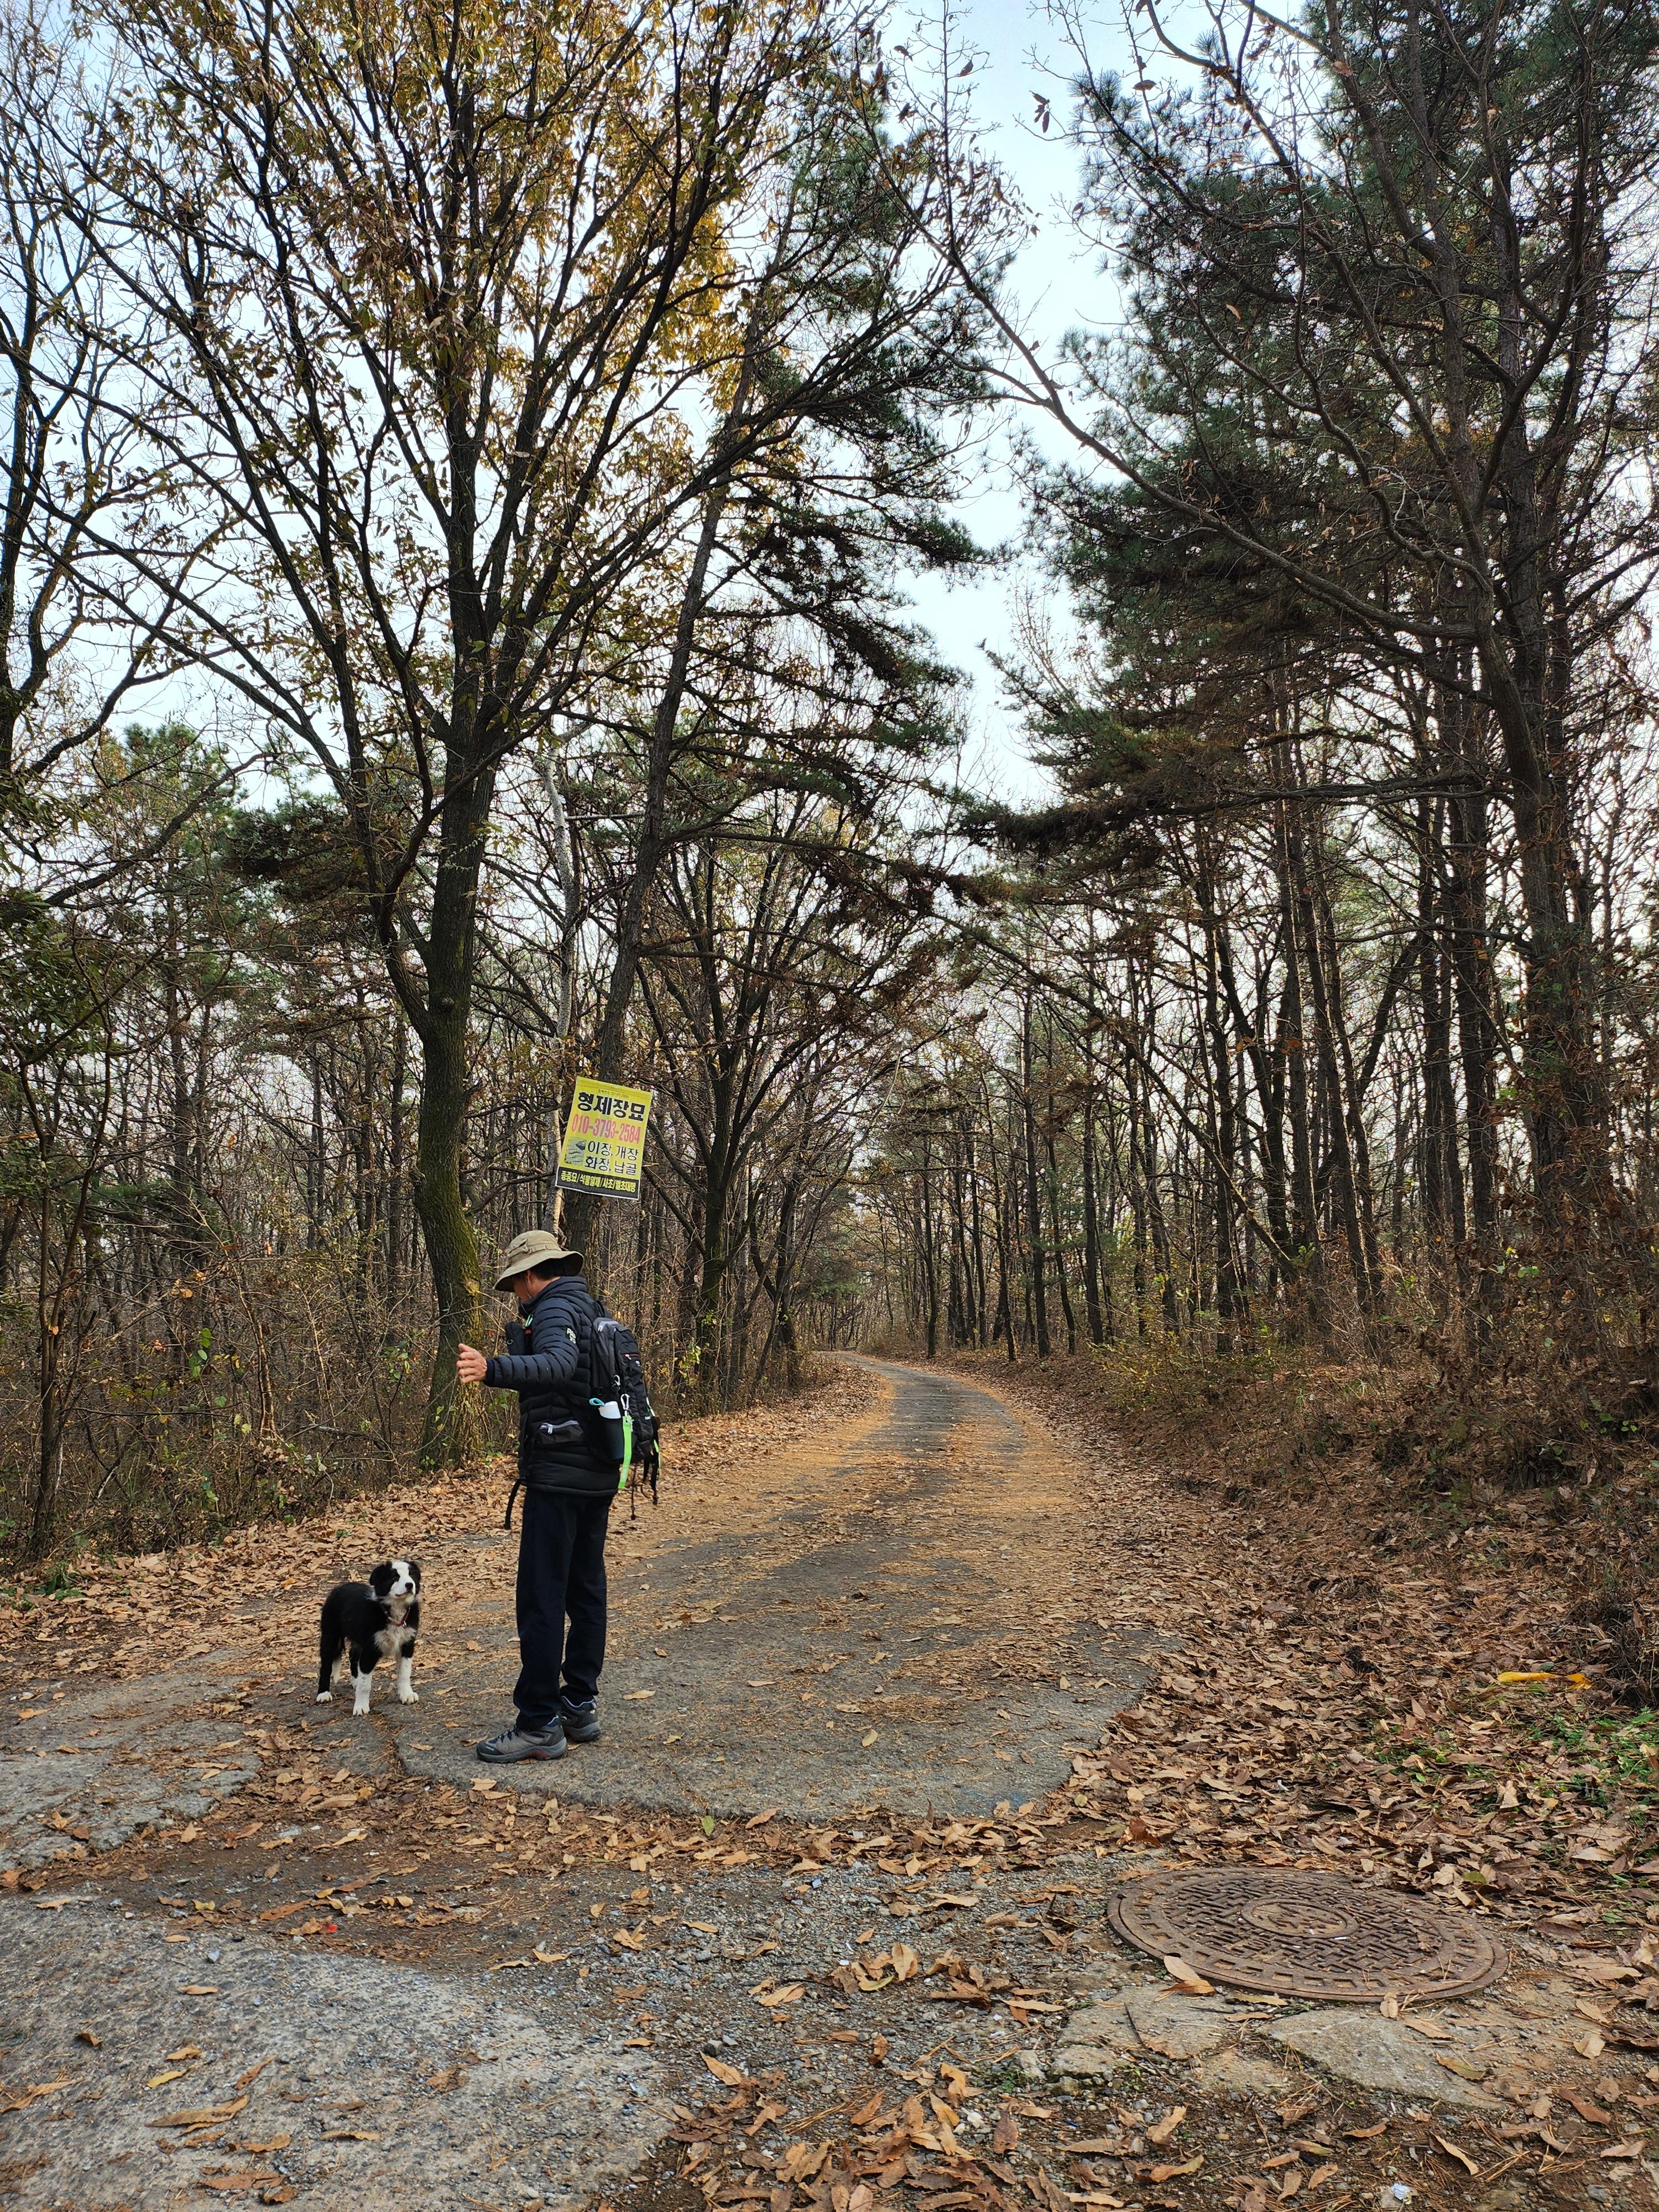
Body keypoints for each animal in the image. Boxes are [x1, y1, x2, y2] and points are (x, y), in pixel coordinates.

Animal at [315, 1560, 421, 1716]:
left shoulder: (407, 1645)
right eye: (394, 1578)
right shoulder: (370, 1649)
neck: (393, 1612)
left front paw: (407, 1695)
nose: (410, 1585)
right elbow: (365, 1684)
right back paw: (323, 1693)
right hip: (330, 1635)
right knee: (326, 1664)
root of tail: (339, 1588)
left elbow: (405, 1673)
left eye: (412, 1575)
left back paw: (355, 1680)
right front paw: (361, 1707)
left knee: (353, 1655)